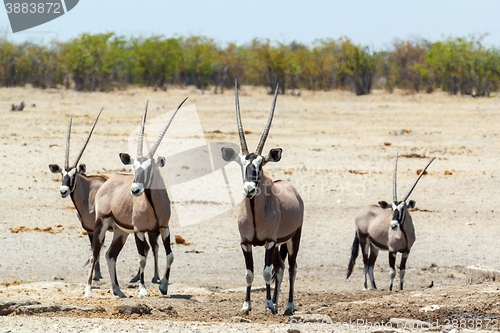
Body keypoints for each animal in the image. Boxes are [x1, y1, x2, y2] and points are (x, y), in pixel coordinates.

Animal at [48, 111, 159, 282]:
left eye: (74, 174)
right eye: (62, 174)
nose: (63, 191)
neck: (87, 194)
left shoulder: (100, 225)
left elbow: (97, 248)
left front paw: (97, 275)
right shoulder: (90, 229)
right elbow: (94, 249)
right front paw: (96, 274)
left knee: (149, 247)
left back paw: (145, 278)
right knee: (152, 246)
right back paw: (146, 277)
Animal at [85, 98, 187, 298]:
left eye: (149, 168)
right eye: (134, 167)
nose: (135, 189)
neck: (153, 204)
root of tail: (108, 183)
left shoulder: (164, 227)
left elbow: (170, 255)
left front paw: (164, 286)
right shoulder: (139, 230)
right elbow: (142, 259)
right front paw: (142, 290)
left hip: (120, 232)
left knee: (110, 255)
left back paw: (117, 290)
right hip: (102, 224)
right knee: (95, 253)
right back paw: (88, 291)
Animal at [223, 81, 304, 314]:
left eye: (260, 165)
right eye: (242, 164)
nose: (249, 189)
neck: (254, 213)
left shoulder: (268, 242)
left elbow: (266, 272)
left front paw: (267, 304)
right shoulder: (246, 243)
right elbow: (249, 274)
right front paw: (246, 306)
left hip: (293, 238)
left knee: (291, 268)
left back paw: (287, 306)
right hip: (279, 245)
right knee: (281, 267)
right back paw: (277, 302)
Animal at [346, 154, 436, 290]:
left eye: (403, 209)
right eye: (392, 208)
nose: (393, 225)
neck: (404, 234)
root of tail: (361, 213)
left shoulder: (406, 252)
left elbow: (402, 271)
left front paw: (400, 289)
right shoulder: (392, 251)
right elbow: (392, 271)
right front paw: (390, 289)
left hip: (374, 247)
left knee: (371, 265)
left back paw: (374, 287)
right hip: (363, 241)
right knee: (365, 264)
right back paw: (365, 287)